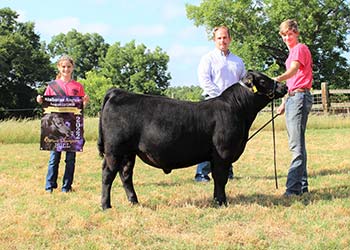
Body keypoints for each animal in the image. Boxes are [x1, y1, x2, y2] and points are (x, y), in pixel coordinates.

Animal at [98, 69, 288, 208]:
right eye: (262, 80)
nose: (284, 87)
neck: (238, 109)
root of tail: (118, 92)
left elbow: (218, 179)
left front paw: (217, 200)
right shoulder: (223, 153)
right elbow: (221, 178)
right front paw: (222, 202)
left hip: (129, 153)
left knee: (125, 174)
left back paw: (134, 201)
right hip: (114, 151)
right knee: (108, 174)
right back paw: (106, 205)